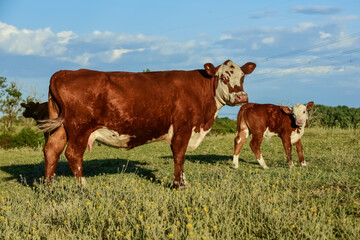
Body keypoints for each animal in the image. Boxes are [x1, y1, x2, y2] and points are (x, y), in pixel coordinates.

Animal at [39, 60, 256, 188]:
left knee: (52, 150)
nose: (242, 97)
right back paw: (84, 187)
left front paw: (184, 182)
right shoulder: (183, 127)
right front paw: (178, 185)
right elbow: (179, 156)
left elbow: (181, 158)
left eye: (243, 77)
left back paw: (50, 187)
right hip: (80, 128)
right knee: (73, 154)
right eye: (224, 77)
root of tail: (65, 72)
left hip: (61, 128)